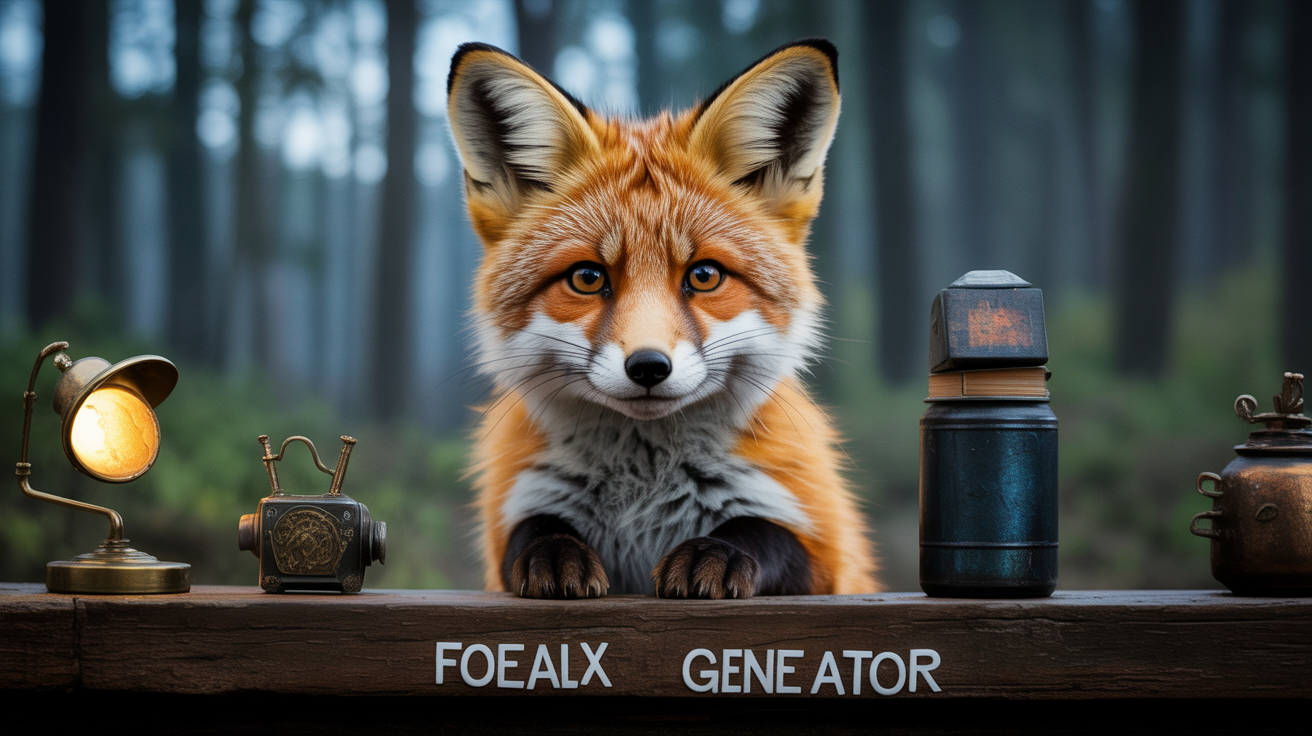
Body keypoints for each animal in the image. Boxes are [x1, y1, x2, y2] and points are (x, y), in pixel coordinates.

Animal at [446, 38, 878, 599]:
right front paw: (556, 553)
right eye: (587, 277)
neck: (644, 492)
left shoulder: (829, 553)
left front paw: (715, 553)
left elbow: (762, 532)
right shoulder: (517, 508)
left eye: (704, 276)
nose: (648, 367)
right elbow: (536, 529)